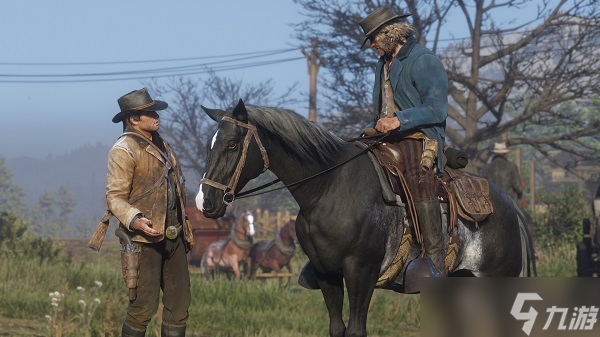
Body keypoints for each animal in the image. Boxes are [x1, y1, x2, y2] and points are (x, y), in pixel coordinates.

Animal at [196, 100, 528, 336]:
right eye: (210, 144)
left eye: (232, 144)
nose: (205, 202)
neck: (328, 188)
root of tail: (510, 205)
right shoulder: (327, 274)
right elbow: (337, 327)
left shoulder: (361, 273)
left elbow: (356, 330)